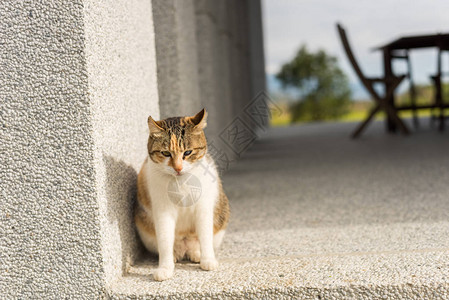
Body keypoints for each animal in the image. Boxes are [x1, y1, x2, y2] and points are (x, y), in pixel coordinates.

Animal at [134, 108, 229, 282]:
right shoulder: (163, 210)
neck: (181, 182)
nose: (178, 168)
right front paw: (165, 268)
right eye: (165, 153)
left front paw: (208, 260)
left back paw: (197, 254)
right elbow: (165, 239)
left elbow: (205, 234)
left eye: (188, 152)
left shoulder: (203, 208)